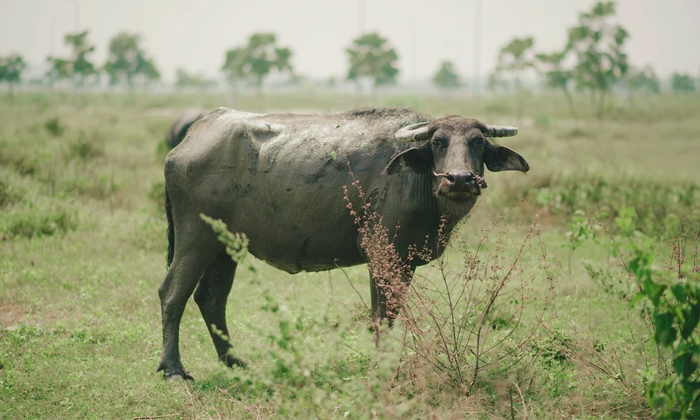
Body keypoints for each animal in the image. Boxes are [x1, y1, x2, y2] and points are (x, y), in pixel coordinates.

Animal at [160, 106, 532, 380]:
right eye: (438, 142)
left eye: (478, 143)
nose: (460, 179)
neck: (416, 181)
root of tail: (190, 137)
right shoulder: (381, 253)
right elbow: (381, 316)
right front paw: (381, 370)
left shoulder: (403, 262)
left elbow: (389, 315)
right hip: (195, 238)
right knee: (172, 293)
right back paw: (174, 369)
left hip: (225, 247)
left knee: (211, 298)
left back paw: (234, 362)